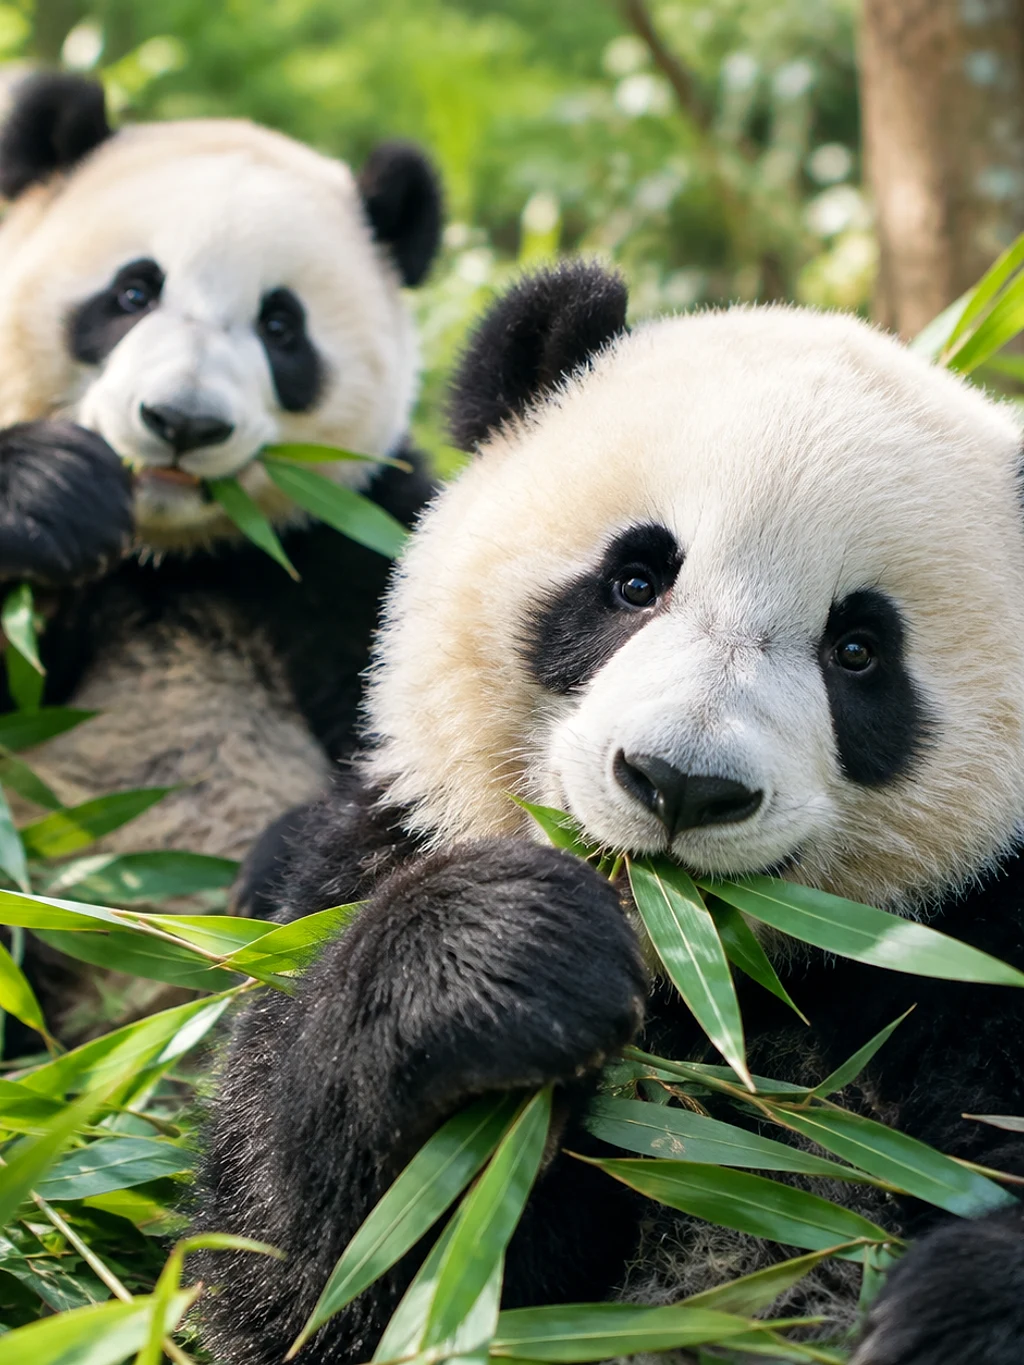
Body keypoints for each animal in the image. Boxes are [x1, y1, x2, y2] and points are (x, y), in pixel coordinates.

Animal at [0, 72, 441, 949]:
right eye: (133, 291)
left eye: (280, 325)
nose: (183, 421)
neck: (175, 555)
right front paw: (50, 492)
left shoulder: (360, 541)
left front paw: (277, 865)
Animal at [194, 262, 1024, 1365]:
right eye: (633, 580)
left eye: (858, 651)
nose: (680, 784)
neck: (701, 982)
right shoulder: (377, 847)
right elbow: (301, 1278)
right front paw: (499, 958)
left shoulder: (986, 937)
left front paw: (952, 1312)